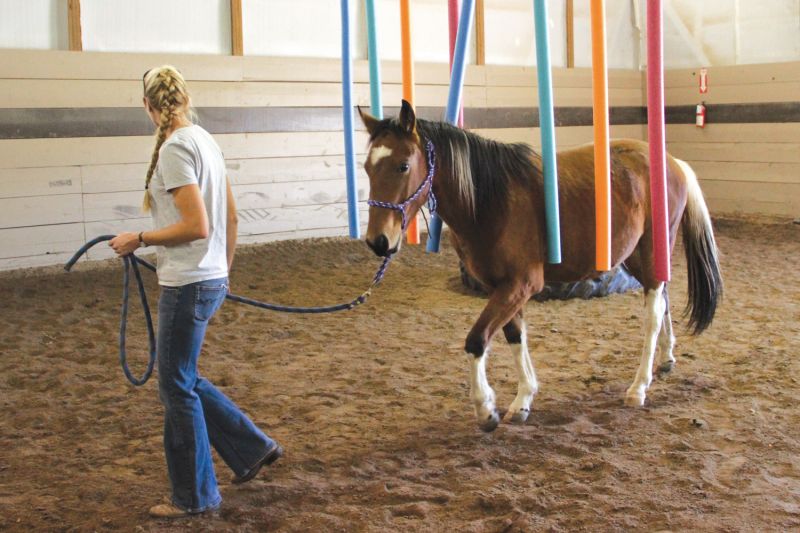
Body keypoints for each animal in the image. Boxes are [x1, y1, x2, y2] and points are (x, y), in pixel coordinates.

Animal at [362, 101, 724, 432]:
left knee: (652, 315)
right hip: (634, 256)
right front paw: (523, 399)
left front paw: (486, 409)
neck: (491, 201)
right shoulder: (500, 288)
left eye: (403, 165)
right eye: (367, 166)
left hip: (650, 252)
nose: (378, 241)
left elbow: (477, 340)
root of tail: (673, 163)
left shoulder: (520, 285)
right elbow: (514, 336)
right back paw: (666, 359)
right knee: (663, 300)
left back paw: (639, 386)